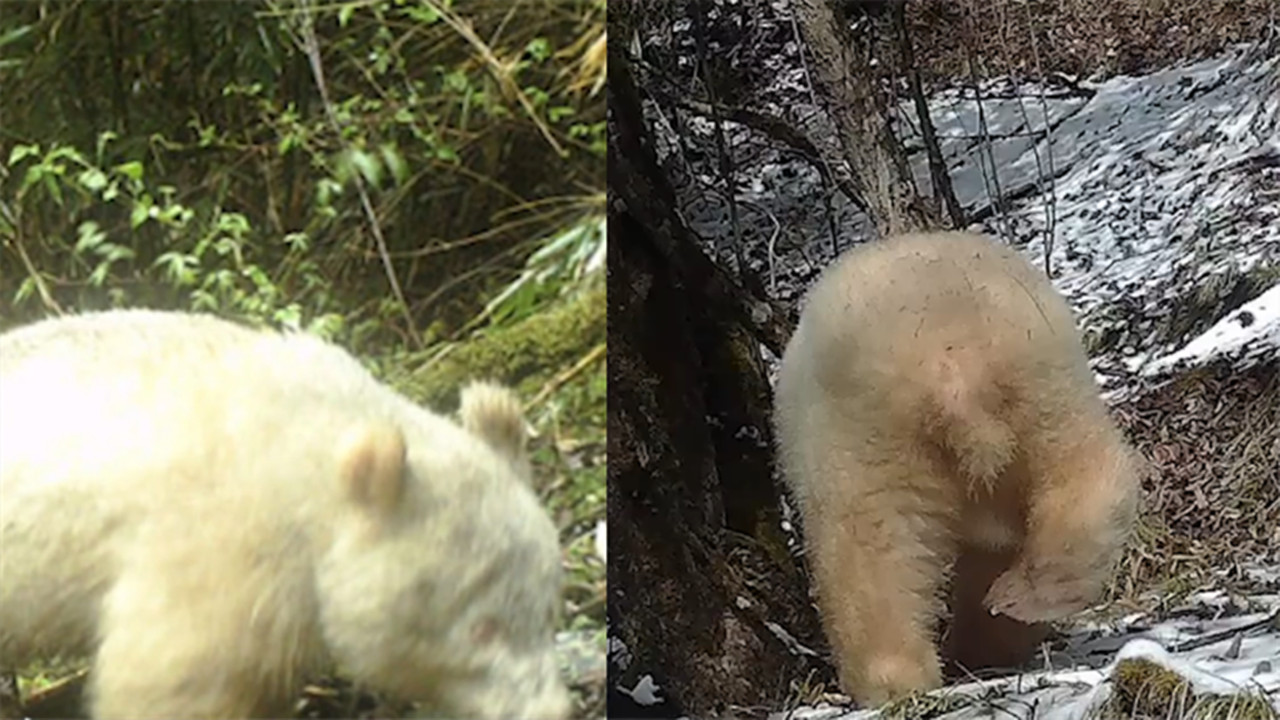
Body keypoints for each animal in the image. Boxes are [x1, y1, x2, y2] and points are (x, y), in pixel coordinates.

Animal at [772, 231, 1141, 706]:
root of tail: (955, 371)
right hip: (1045, 389)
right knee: (1083, 478)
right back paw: (1021, 596)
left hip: (869, 432)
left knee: (871, 547)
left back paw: (889, 679)